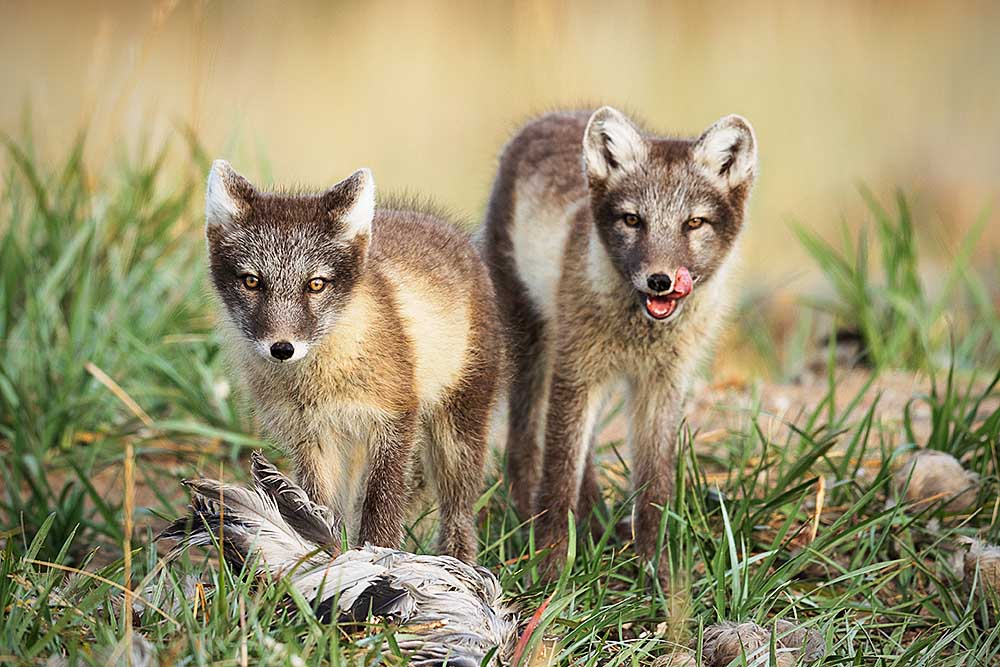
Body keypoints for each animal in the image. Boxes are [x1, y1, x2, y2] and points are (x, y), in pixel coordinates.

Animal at [204, 160, 504, 563]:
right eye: (252, 281)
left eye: (316, 284)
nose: (282, 348)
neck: (318, 384)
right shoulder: (310, 438)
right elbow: (316, 504)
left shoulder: (394, 421)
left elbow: (382, 505)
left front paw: (379, 557)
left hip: (456, 434)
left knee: (458, 513)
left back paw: (458, 561)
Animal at [481, 107, 757, 573]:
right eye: (632, 220)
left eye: (694, 223)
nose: (660, 281)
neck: (640, 336)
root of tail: (553, 116)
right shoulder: (575, 374)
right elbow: (559, 473)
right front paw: (550, 567)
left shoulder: (663, 385)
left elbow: (655, 485)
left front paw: (658, 569)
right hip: (535, 342)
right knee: (524, 445)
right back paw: (532, 519)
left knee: (586, 450)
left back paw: (596, 524)